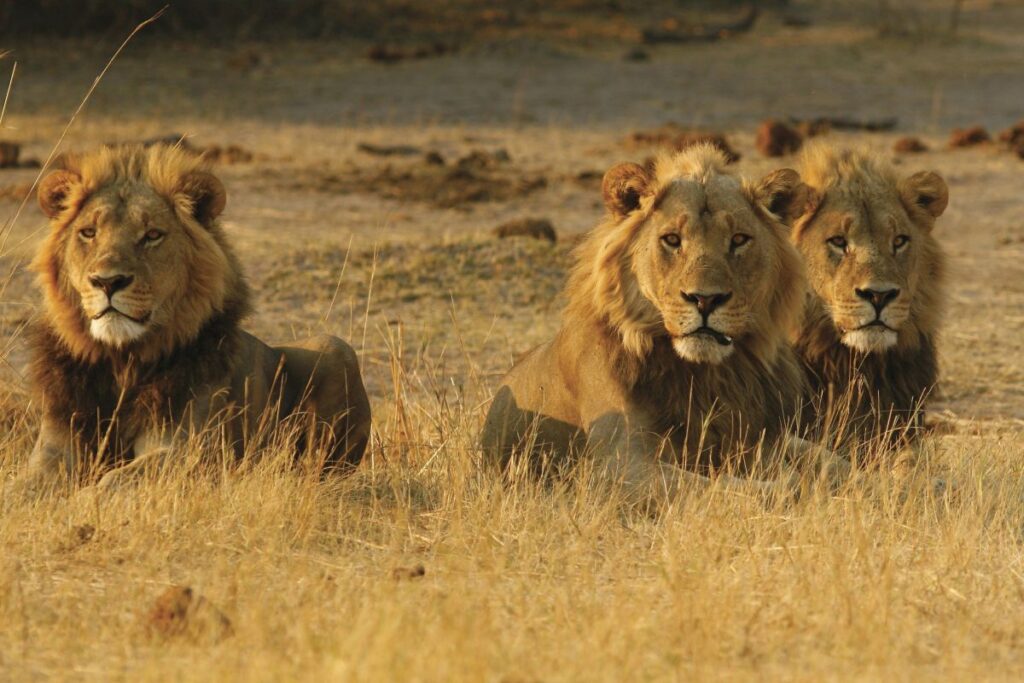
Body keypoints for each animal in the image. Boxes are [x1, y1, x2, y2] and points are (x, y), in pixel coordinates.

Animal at [12, 144, 371, 494]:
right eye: (88, 233)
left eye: (152, 235)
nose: (107, 282)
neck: (121, 361)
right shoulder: (55, 446)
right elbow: (22, 487)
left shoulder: (193, 452)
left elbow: (116, 480)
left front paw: (87, 498)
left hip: (333, 347)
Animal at [481, 145, 848, 503]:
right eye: (672, 240)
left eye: (739, 239)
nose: (705, 299)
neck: (707, 376)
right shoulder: (619, 467)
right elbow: (734, 488)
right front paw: (791, 485)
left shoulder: (763, 435)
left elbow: (835, 465)